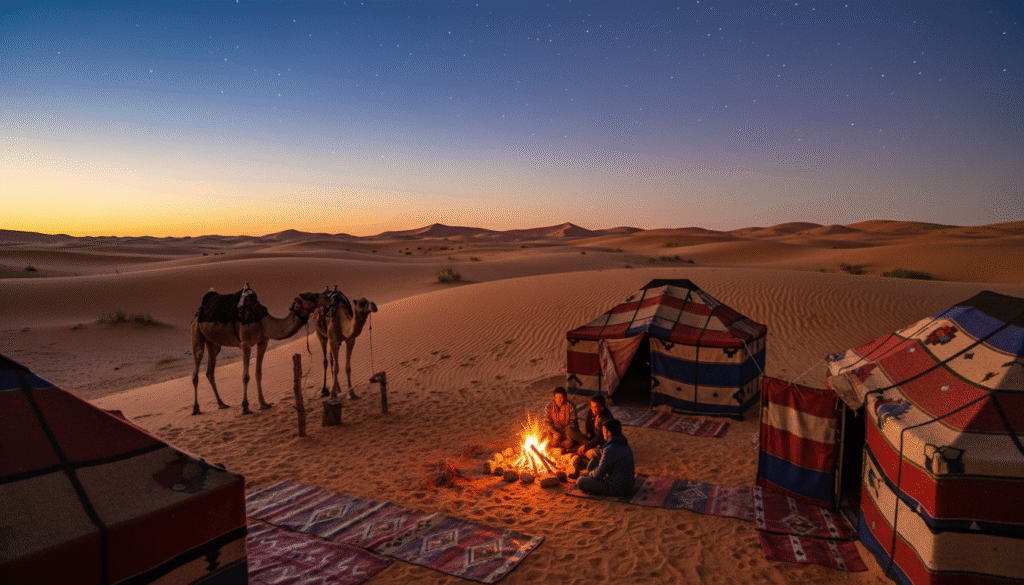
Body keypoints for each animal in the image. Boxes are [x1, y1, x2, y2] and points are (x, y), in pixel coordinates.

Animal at [190, 289, 327, 415]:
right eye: (312, 296)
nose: (328, 298)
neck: (263, 322)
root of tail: (197, 313)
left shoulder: (263, 342)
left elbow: (258, 373)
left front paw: (263, 403)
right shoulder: (245, 343)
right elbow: (245, 376)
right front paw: (245, 407)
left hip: (213, 343)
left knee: (210, 371)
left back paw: (221, 403)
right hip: (197, 332)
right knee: (197, 363)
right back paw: (196, 409)